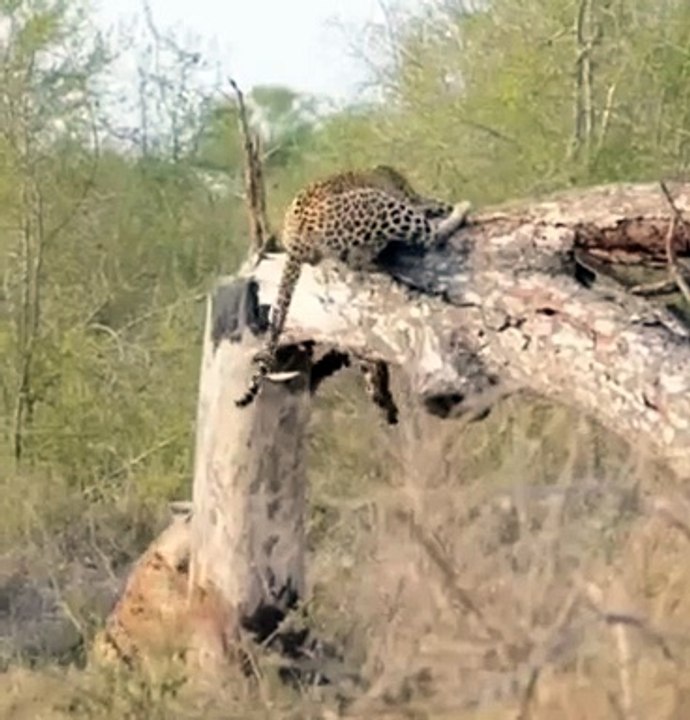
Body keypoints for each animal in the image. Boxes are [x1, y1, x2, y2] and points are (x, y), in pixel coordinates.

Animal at [235, 165, 472, 417]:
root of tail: (295, 235)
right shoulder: (410, 198)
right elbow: (432, 205)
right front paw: (450, 207)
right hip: (377, 203)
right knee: (429, 235)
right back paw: (460, 211)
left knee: (361, 260)